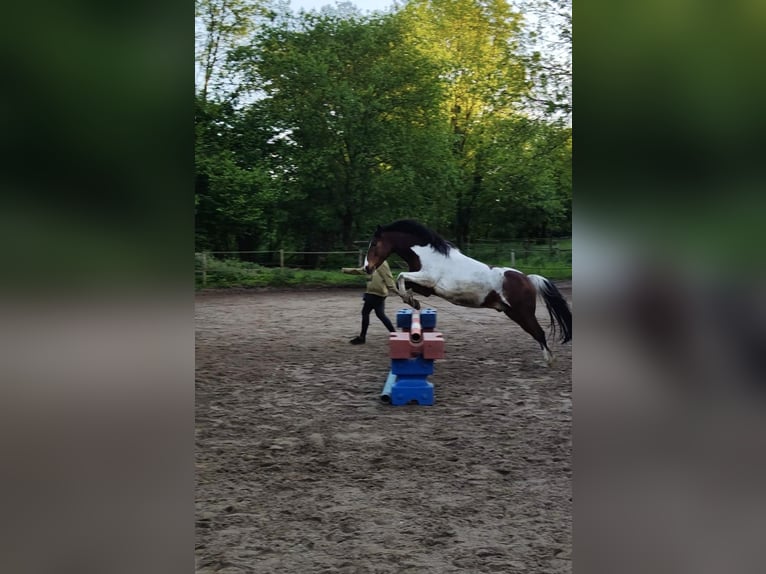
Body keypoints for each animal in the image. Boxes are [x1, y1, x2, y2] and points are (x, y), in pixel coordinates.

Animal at [364, 219, 572, 364]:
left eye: (374, 244)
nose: (367, 268)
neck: (427, 255)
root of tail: (528, 279)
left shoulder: (427, 278)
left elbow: (400, 276)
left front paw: (411, 301)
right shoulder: (425, 287)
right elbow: (403, 282)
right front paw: (412, 301)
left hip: (523, 314)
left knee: (539, 333)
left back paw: (549, 361)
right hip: (513, 313)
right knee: (538, 333)